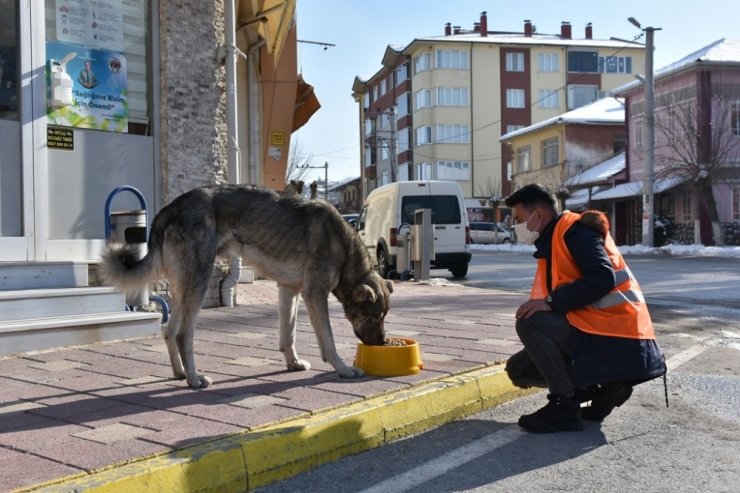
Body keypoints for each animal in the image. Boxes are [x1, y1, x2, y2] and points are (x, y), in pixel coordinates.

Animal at [103, 184, 394, 388]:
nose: (383, 342)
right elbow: (329, 342)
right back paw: (195, 379)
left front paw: (293, 363)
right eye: (374, 316)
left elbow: (288, 335)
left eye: (384, 316)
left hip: (183, 289)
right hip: (199, 282)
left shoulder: (289, 291)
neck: (343, 246)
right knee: (184, 334)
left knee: (169, 331)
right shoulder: (315, 295)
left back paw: (180, 373)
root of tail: (169, 209)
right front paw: (343, 369)